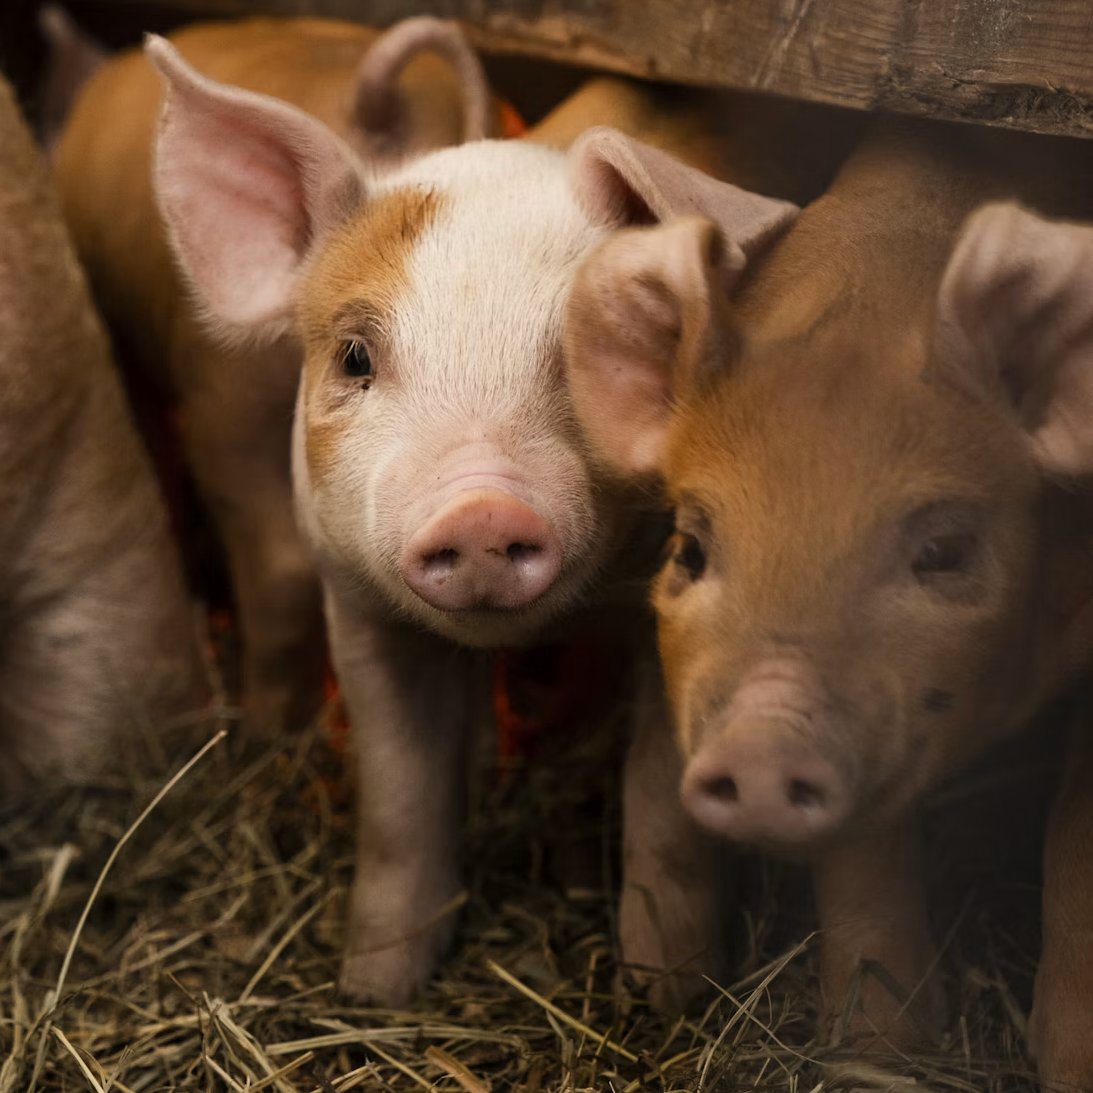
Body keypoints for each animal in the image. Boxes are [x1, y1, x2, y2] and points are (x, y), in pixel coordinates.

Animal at [144, 35, 867, 1005]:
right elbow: (400, 799)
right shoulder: (358, 608)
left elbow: (662, 811)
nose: (480, 507)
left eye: (593, 351)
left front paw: (667, 996)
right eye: (355, 355)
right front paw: (375, 987)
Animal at [564, 118, 1093, 1087]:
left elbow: (1078, 834)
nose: (762, 745)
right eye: (689, 548)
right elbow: (861, 861)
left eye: (944, 550)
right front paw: (881, 1052)